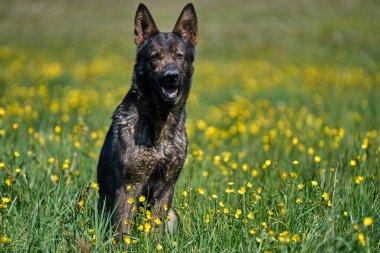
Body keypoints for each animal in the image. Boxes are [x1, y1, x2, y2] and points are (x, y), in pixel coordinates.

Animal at [96, 2, 197, 236]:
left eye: (179, 56)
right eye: (155, 57)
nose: (171, 76)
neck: (161, 121)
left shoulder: (167, 185)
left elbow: (156, 230)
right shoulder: (128, 185)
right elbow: (122, 230)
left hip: (173, 214)